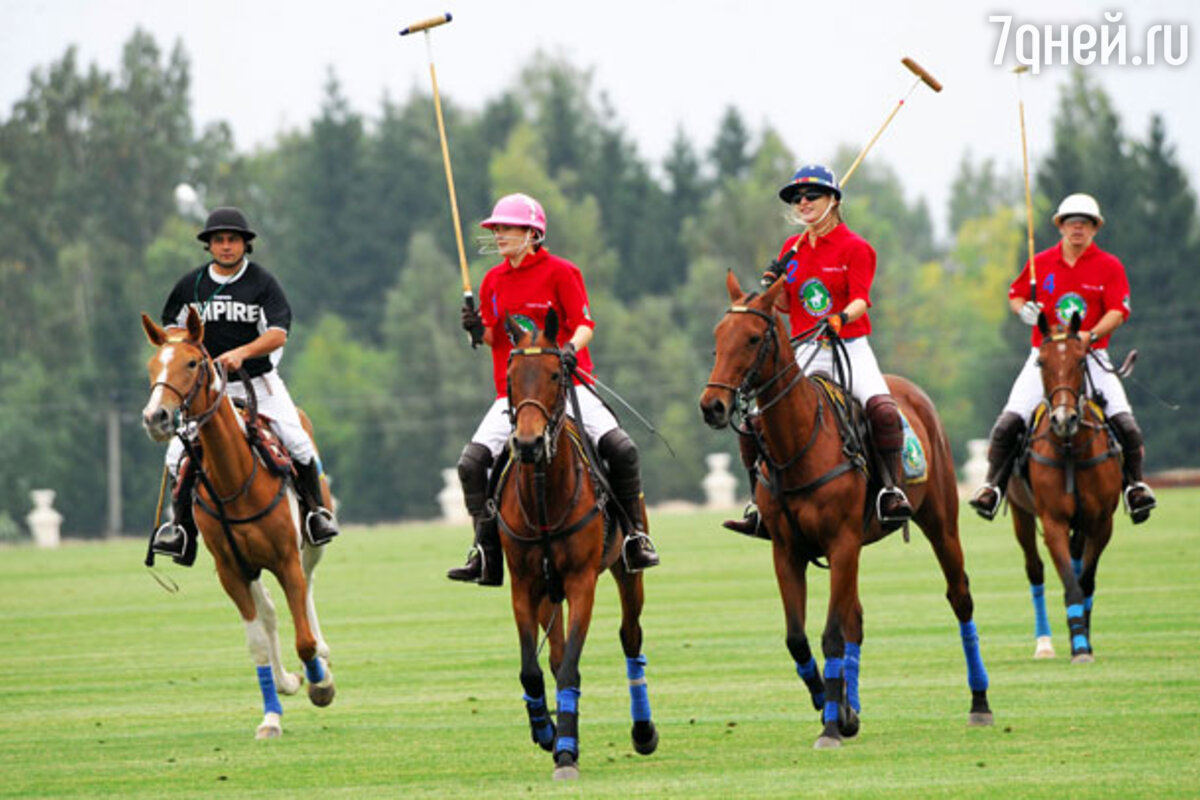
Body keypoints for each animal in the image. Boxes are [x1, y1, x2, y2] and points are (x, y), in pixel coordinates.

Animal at [141, 307, 338, 738]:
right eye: (152, 365)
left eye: (192, 363)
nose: (155, 417)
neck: (235, 481)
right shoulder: (231, 569)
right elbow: (258, 643)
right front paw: (271, 715)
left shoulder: (285, 558)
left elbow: (302, 638)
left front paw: (320, 683)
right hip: (251, 566)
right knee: (269, 611)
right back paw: (288, 681)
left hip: (310, 547)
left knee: (308, 590)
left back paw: (321, 658)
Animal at [496, 311, 662, 782]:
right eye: (511, 377)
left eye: (555, 373)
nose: (528, 444)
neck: (544, 497)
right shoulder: (524, 585)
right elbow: (532, 670)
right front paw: (547, 732)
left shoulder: (581, 582)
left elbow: (571, 668)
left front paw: (567, 753)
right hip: (548, 594)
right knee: (552, 655)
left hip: (626, 570)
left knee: (630, 637)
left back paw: (643, 732)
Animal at [700, 273, 988, 753]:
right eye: (719, 336)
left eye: (754, 337)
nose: (712, 406)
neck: (799, 442)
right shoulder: (786, 551)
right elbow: (798, 638)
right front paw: (830, 705)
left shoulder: (841, 543)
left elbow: (831, 634)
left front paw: (832, 726)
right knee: (857, 618)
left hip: (939, 521)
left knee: (959, 596)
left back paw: (980, 703)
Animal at [1003, 311, 1123, 662]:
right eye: (1041, 362)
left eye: (1081, 359)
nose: (1063, 419)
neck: (1071, 448)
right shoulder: (1053, 520)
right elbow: (1070, 583)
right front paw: (1079, 645)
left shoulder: (1102, 522)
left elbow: (1086, 581)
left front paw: (1083, 639)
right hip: (1022, 515)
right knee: (1035, 570)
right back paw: (1044, 644)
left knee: (1077, 561)